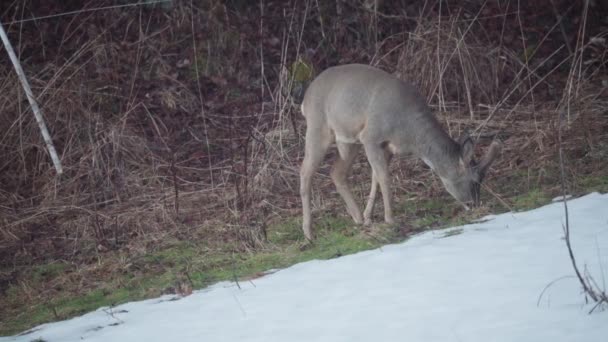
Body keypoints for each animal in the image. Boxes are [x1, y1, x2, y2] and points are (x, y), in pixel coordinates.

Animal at [296, 64, 502, 240]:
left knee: (336, 172)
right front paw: (390, 219)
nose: (474, 204)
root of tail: (305, 99)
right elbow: (385, 178)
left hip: (348, 140)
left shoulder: (388, 147)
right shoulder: (371, 136)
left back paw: (358, 218)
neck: (410, 134)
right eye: (474, 181)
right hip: (318, 127)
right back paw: (308, 233)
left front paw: (369, 217)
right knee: (305, 171)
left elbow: (376, 178)